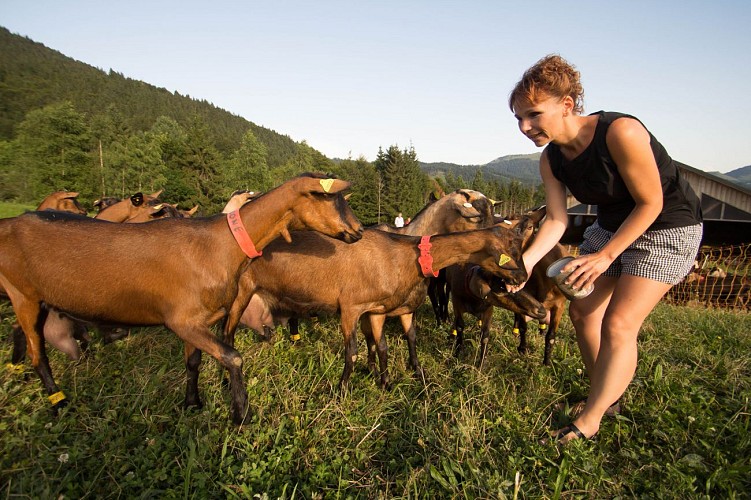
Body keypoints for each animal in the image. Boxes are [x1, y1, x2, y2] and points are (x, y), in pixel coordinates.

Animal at [0, 172, 364, 422]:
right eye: (325, 197)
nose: (359, 230)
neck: (221, 244)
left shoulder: (197, 321)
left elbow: (194, 362)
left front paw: (192, 404)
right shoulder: (182, 320)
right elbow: (233, 357)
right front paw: (240, 413)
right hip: (22, 294)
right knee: (38, 353)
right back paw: (59, 403)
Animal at [226, 224, 524, 390]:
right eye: (510, 252)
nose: (522, 278)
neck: (405, 256)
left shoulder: (382, 310)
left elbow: (394, 342)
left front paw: (400, 377)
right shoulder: (350, 307)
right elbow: (353, 351)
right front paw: (342, 388)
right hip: (238, 295)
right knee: (226, 334)